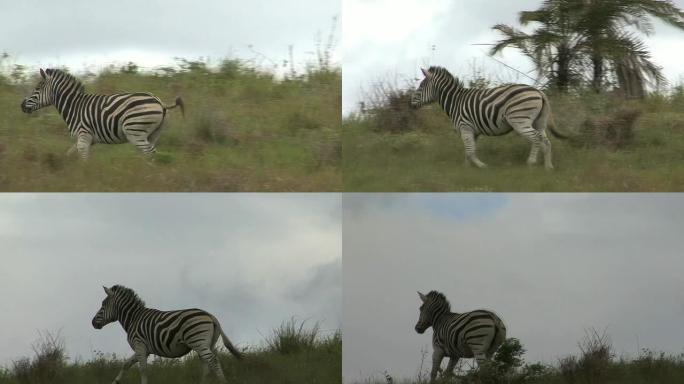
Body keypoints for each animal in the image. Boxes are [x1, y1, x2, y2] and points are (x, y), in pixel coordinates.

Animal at [20, 68, 182, 158]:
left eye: (37, 88)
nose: (22, 106)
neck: (74, 106)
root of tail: (159, 101)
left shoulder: (83, 137)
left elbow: (83, 160)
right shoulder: (85, 140)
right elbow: (69, 154)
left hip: (135, 131)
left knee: (149, 152)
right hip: (153, 134)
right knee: (151, 152)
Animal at [89, 284, 242, 384]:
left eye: (103, 305)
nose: (92, 323)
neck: (133, 318)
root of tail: (211, 316)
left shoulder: (140, 346)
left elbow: (143, 370)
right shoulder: (142, 350)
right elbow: (126, 365)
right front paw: (115, 382)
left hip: (198, 341)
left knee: (213, 361)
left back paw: (223, 382)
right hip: (207, 344)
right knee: (207, 365)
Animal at [408, 66, 564, 170]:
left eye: (421, 86)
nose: (410, 105)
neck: (455, 101)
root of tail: (539, 91)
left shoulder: (465, 127)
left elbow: (470, 151)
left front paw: (481, 166)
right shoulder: (473, 131)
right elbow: (469, 151)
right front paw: (466, 169)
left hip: (520, 120)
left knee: (536, 138)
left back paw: (531, 163)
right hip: (539, 122)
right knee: (546, 141)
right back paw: (548, 166)